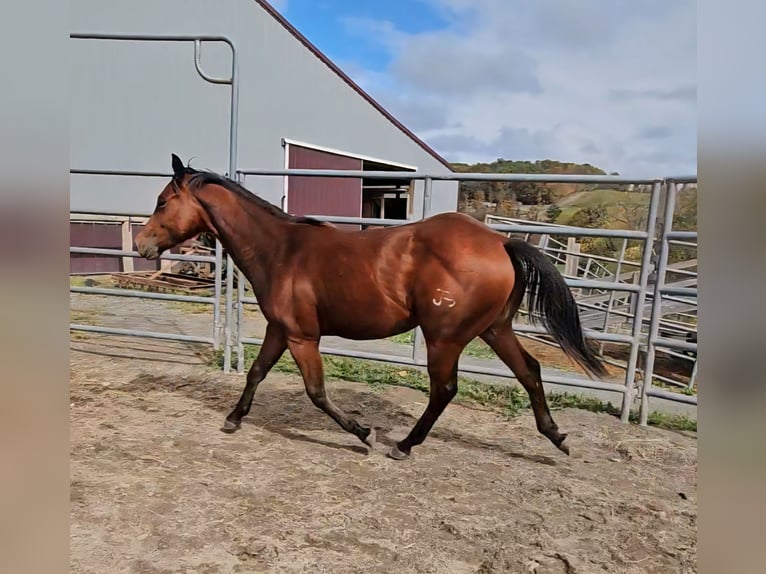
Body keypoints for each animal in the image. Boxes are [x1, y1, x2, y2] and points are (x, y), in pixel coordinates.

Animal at [135, 154, 608, 460]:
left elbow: (316, 392)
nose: (141, 245)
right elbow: (256, 372)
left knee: (445, 389)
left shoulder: (302, 336)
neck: (281, 250)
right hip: (494, 329)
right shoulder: (280, 330)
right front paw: (233, 419)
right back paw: (557, 437)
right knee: (529, 371)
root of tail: (500, 241)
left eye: (162, 201)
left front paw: (364, 434)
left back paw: (404, 446)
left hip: (445, 338)